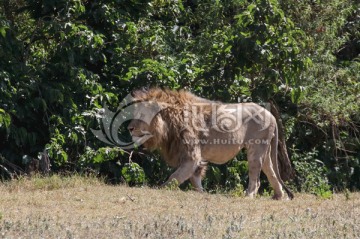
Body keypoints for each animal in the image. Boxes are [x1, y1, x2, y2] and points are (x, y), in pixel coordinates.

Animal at [128, 88, 294, 200]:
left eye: (141, 115)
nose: (129, 128)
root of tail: (272, 116)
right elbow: (194, 178)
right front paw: (202, 193)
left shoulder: (192, 155)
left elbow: (174, 178)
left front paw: (159, 189)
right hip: (265, 150)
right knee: (271, 171)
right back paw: (278, 196)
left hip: (256, 149)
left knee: (256, 177)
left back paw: (248, 195)